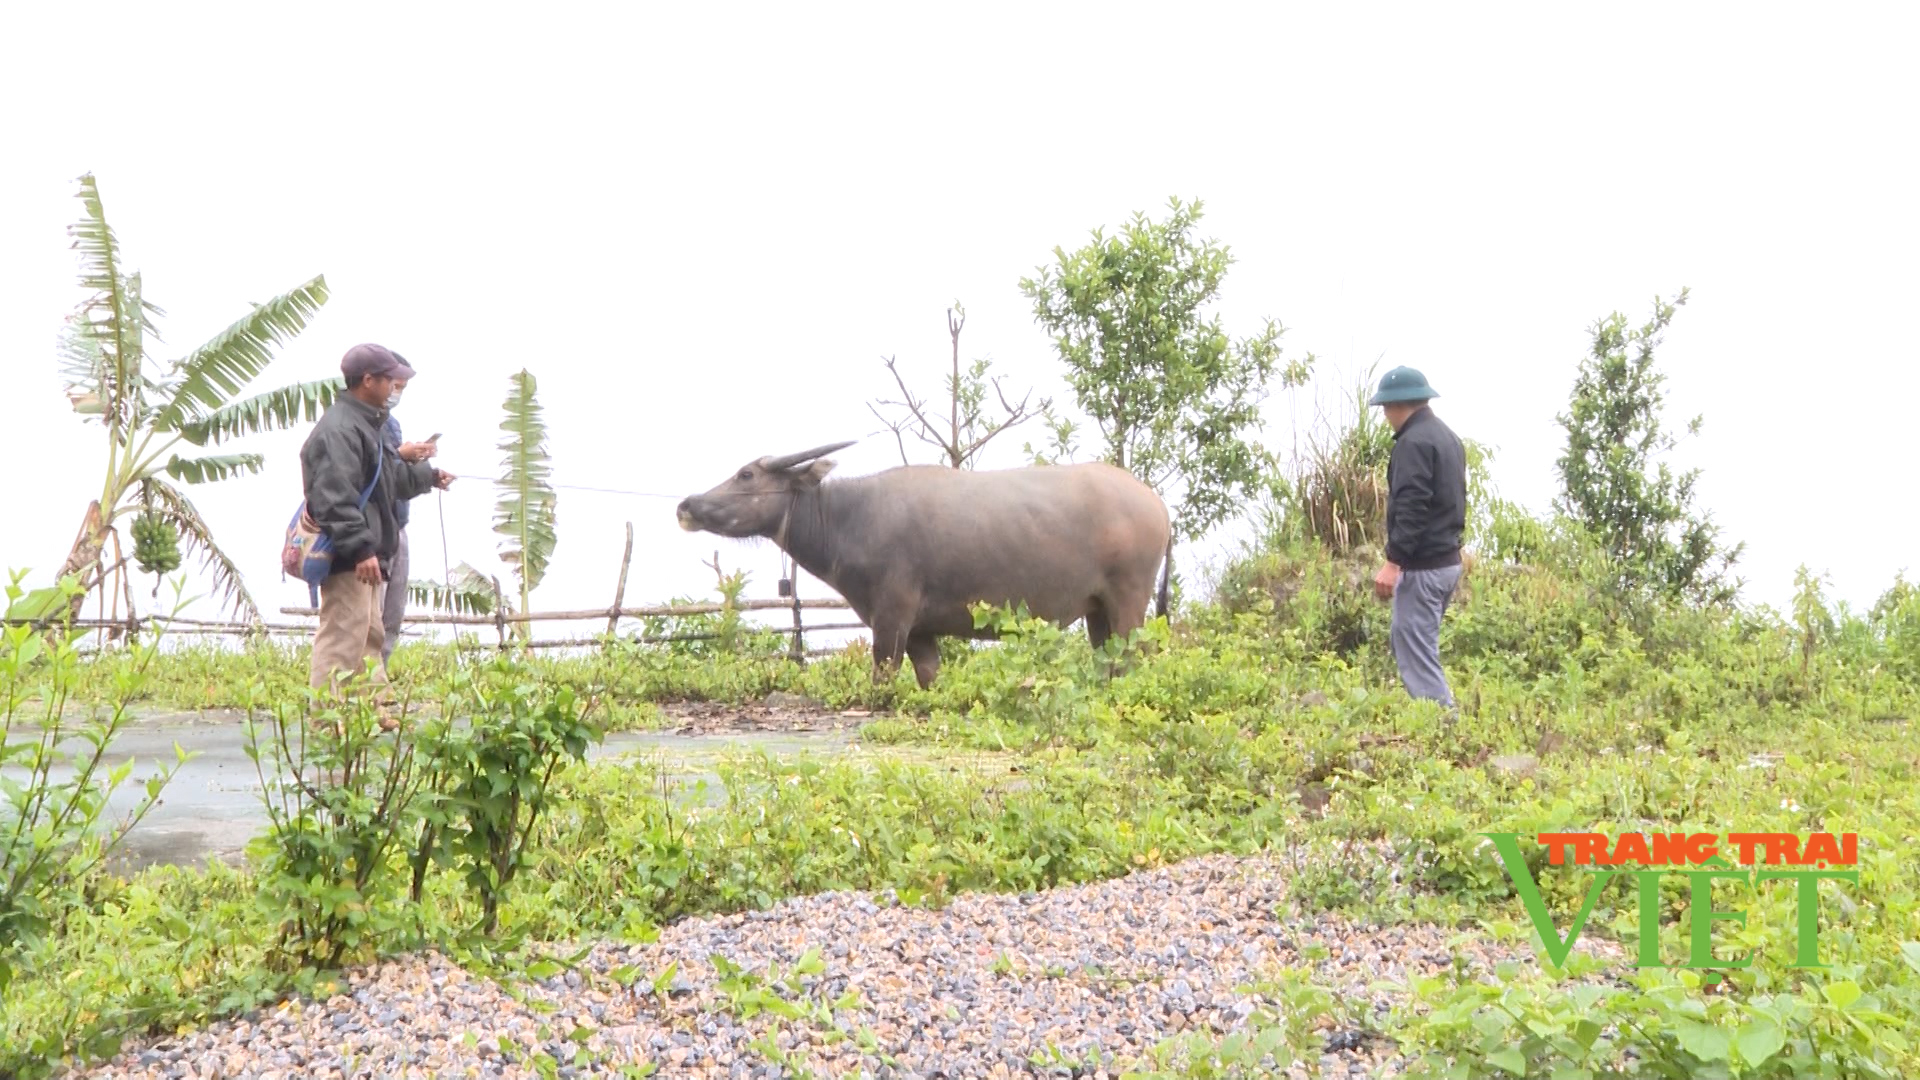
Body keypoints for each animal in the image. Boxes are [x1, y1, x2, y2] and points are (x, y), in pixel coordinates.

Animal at [675, 440, 1167, 684]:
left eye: (746, 474)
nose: (687, 505)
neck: (850, 518)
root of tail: (1157, 505)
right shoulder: (921, 632)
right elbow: (929, 679)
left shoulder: (891, 620)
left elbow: (883, 678)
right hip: (1096, 610)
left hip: (1129, 602)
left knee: (1135, 655)